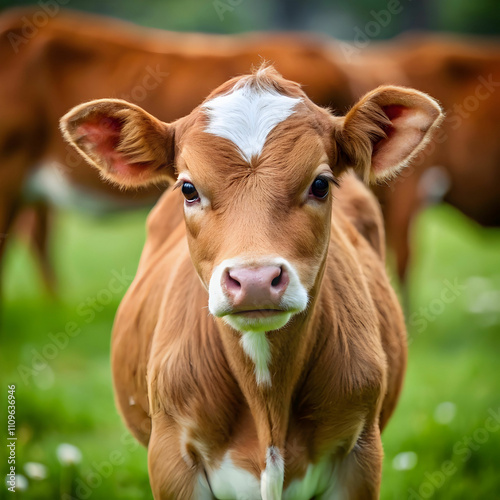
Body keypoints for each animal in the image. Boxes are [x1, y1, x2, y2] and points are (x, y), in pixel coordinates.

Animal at [59, 67, 442, 500]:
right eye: (188, 188)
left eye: (321, 184)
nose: (255, 279)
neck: (266, 404)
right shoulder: (171, 457)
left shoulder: (360, 455)